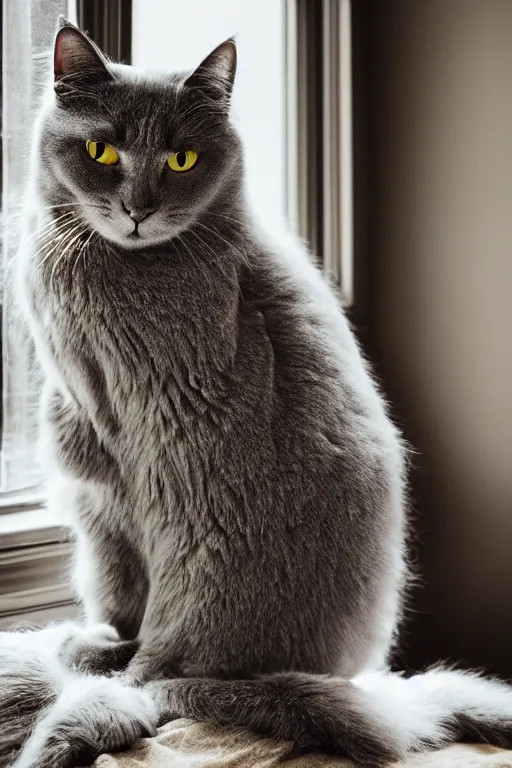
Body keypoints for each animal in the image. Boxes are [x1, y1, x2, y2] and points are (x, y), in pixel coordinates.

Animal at [5, 16, 512, 768]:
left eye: (182, 159)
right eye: (102, 148)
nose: (137, 209)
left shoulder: (136, 443)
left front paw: (113, 669)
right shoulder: (94, 461)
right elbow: (123, 582)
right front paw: (107, 644)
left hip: (195, 546)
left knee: (162, 668)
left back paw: (119, 674)